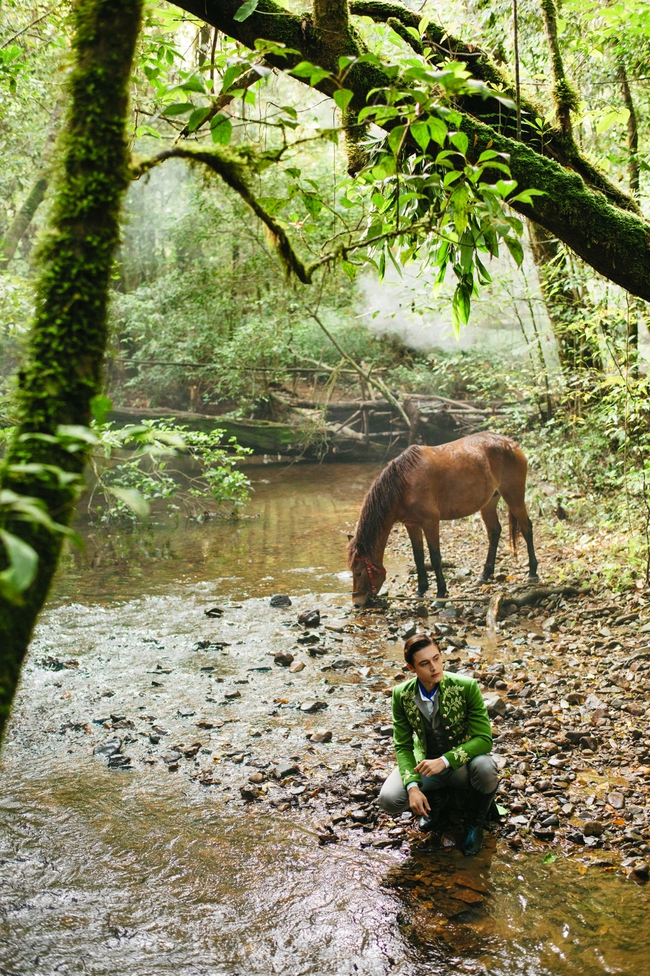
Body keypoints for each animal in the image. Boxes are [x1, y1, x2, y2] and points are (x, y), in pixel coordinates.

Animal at [344, 432, 536, 608]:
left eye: (359, 573)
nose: (356, 602)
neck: (404, 484)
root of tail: (512, 444)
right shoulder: (411, 525)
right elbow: (418, 556)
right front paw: (420, 590)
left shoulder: (430, 523)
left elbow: (435, 558)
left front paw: (440, 595)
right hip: (489, 503)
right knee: (494, 532)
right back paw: (484, 575)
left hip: (514, 495)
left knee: (527, 528)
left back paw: (533, 573)